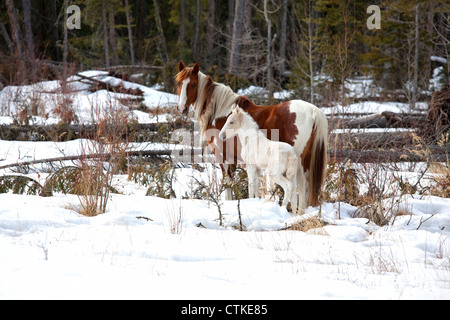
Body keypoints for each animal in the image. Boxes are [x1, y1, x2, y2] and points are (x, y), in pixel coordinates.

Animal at [176, 61, 326, 214]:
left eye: (193, 84)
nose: (182, 108)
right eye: (179, 83)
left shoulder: (223, 156)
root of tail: (314, 111)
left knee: (299, 185)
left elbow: (229, 184)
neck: (218, 113)